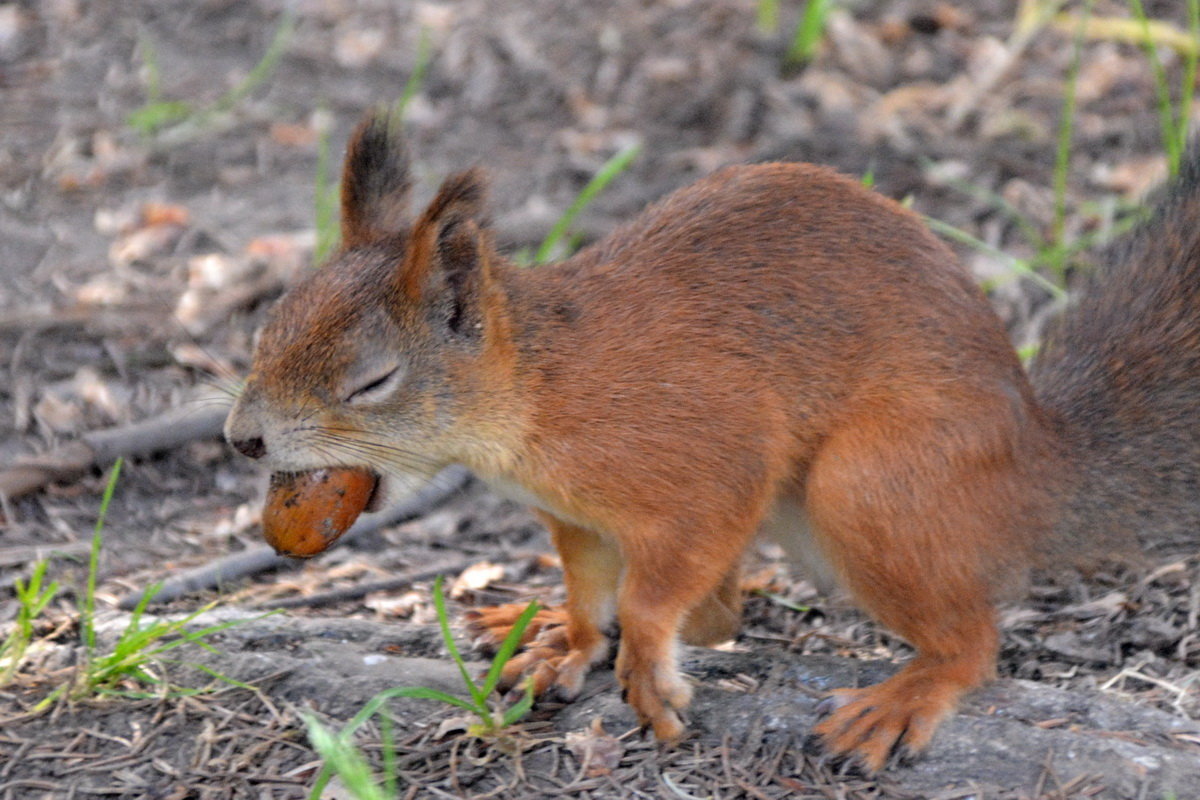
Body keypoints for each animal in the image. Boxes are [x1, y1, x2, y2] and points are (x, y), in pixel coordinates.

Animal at [225, 112, 1200, 767]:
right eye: (269, 329)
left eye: (371, 382)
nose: (241, 439)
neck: (541, 392)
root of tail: (1036, 464)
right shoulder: (574, 520)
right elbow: (590, 590)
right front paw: (570, 639)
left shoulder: (708, 460)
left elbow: (666, 580)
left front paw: (648, 663)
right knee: (730, 609)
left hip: (869, 485)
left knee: (970, 641)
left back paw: (905, 695)